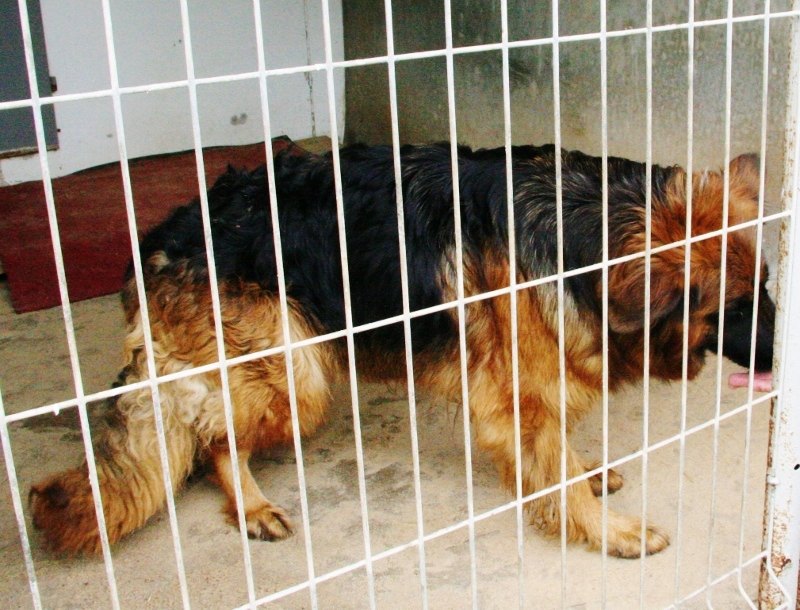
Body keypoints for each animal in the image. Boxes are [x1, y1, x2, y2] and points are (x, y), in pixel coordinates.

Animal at [29, 142, 775, 558]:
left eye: (765, 288)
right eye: (734, 310)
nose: (779, 360)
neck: (583, 228)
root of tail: (159, 238)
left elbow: (555, 455)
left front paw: (581, 475)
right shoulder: (521, 394)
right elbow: (554, 466)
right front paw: (608, 531)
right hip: (297, 374)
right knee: (213, 437)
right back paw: (252, 506)